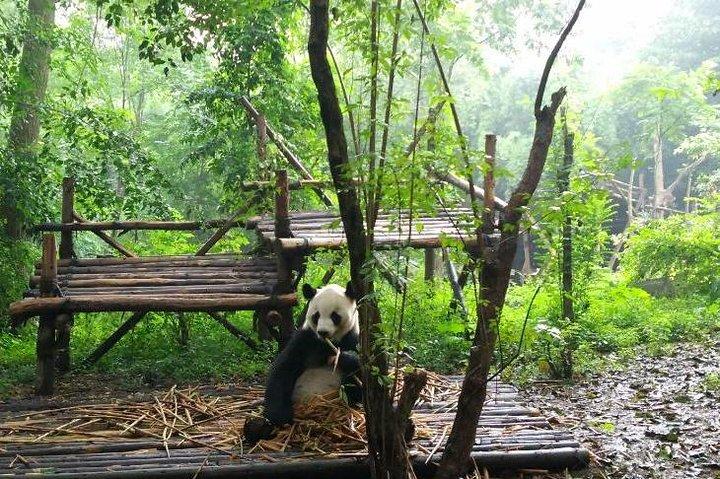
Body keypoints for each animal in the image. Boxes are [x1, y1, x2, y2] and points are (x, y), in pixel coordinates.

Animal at [245, 282, 363, 442]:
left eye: (335, 316)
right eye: (316, 315)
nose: (323, 332)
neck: (327, 344)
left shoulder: (353, 338)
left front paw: (344, 358)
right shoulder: (305, 340)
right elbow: (283, 370)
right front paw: (281, 416)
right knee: (257, 425)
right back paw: (258, 428)